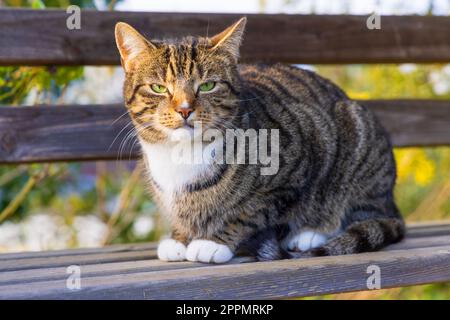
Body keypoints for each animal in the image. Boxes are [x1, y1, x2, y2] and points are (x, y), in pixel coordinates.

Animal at [114, 16, 406, 264]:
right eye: (159, 88)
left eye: (207, 86)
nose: (185, 109)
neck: (182, 155)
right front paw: (179, 239)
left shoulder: (292, 170)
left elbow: (250, 213)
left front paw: (213, 242)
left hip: (357, 145)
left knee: (359, 214)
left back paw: (310, 234)